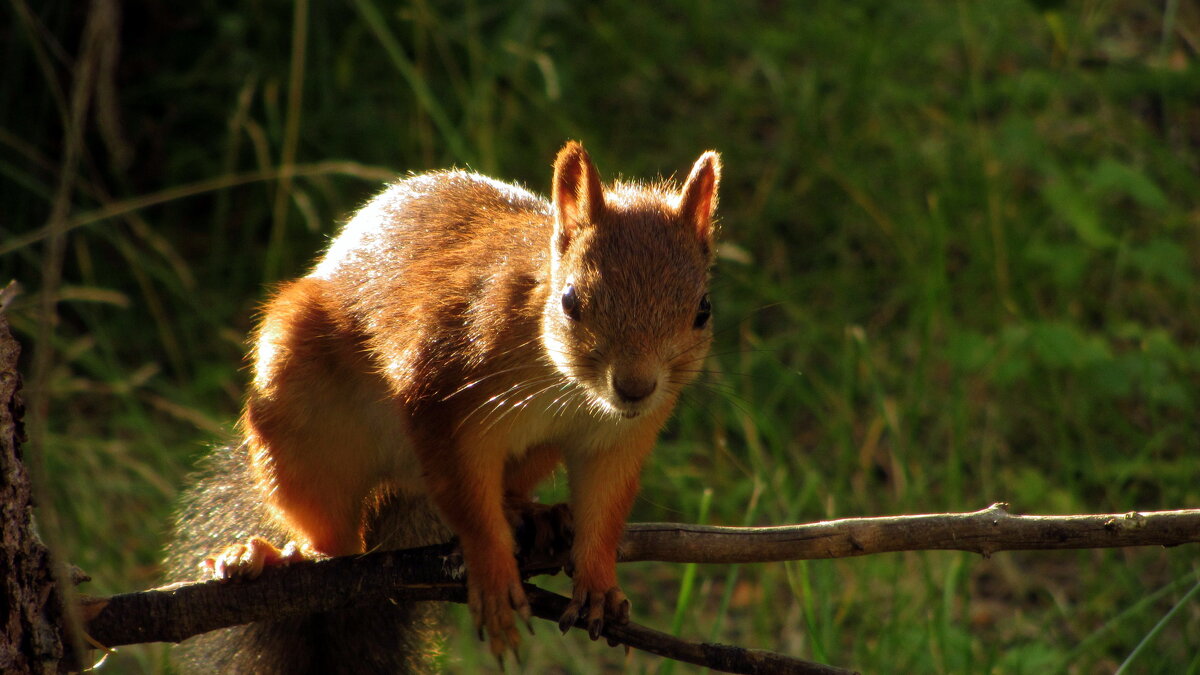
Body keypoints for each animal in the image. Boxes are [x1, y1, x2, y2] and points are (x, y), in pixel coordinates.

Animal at [168, 140, 720, 667]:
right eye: (570, 302)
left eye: (703, 309)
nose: (634, 388)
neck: (565, 384)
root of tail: (405, 491)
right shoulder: (446, 398)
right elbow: (468, 503)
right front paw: (493, 577)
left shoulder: (618, 438)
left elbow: (604, 511)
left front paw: (601, 583)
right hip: (297, 416)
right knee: (335, 539)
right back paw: (273, 557)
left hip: (533, 454)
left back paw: (531, 513)